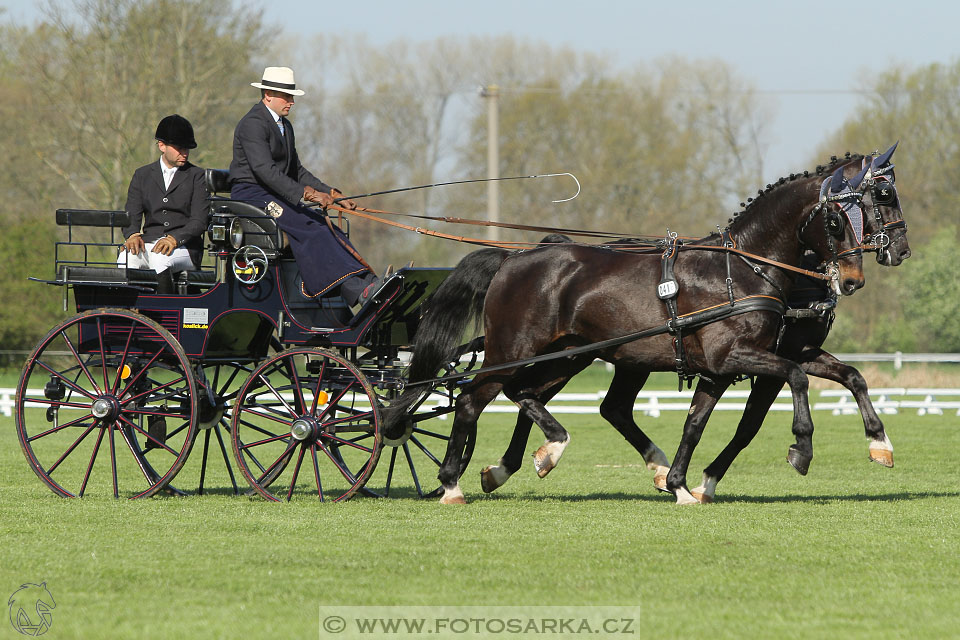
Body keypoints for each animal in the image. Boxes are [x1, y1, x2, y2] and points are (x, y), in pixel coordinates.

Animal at [384, 162, 872, 502]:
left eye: (867, 211)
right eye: (836, 221)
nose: (853, 279)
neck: (742, 269)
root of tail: (513, 258)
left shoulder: (736, 363)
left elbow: (704, 420)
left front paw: (682, 485)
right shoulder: (732, 357)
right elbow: (794, 379)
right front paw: (801, 449)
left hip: (567, 356)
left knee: (532, 396)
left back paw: (540, 455)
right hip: (512, 353)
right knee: (472, 401)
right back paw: (453, 484)